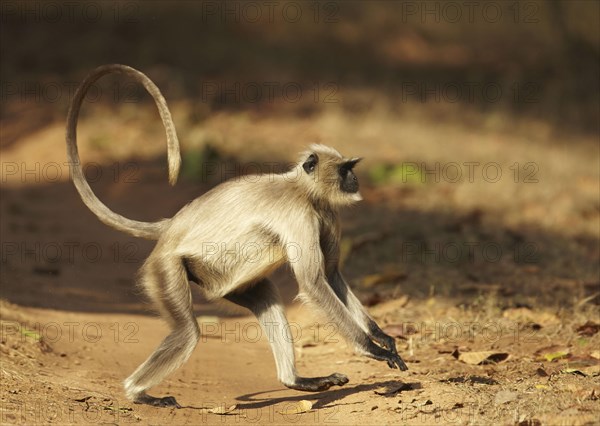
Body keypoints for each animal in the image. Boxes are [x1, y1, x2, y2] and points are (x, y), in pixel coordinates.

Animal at [64, 65, 408, 408]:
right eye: (345, 169)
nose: (355, 178)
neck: (304, 191)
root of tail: (172, 225)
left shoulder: (327, 213)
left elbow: (333, 273)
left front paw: (381, 336)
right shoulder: (298, 213)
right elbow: (313, 282)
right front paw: (371, 348)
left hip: (224, 282)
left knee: (266, 294)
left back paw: (296, 381)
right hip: (165, 268)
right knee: (187, 332)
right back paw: (138, 394)